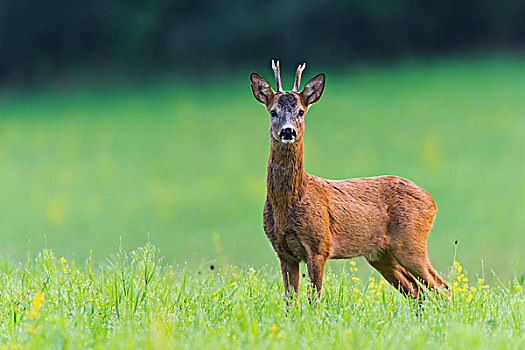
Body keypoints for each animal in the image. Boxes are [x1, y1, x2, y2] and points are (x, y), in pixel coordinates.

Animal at [252, 60, 448, 300]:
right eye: (273, 112)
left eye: (301, 111)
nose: (288, 132)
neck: (291, 202)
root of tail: (432, 201)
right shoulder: (283, 252)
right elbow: (291, 301)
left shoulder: (319, 246)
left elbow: (314, 299)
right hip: (381, 255)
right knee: (416, 291)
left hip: (411, 243)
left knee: (442, 287)